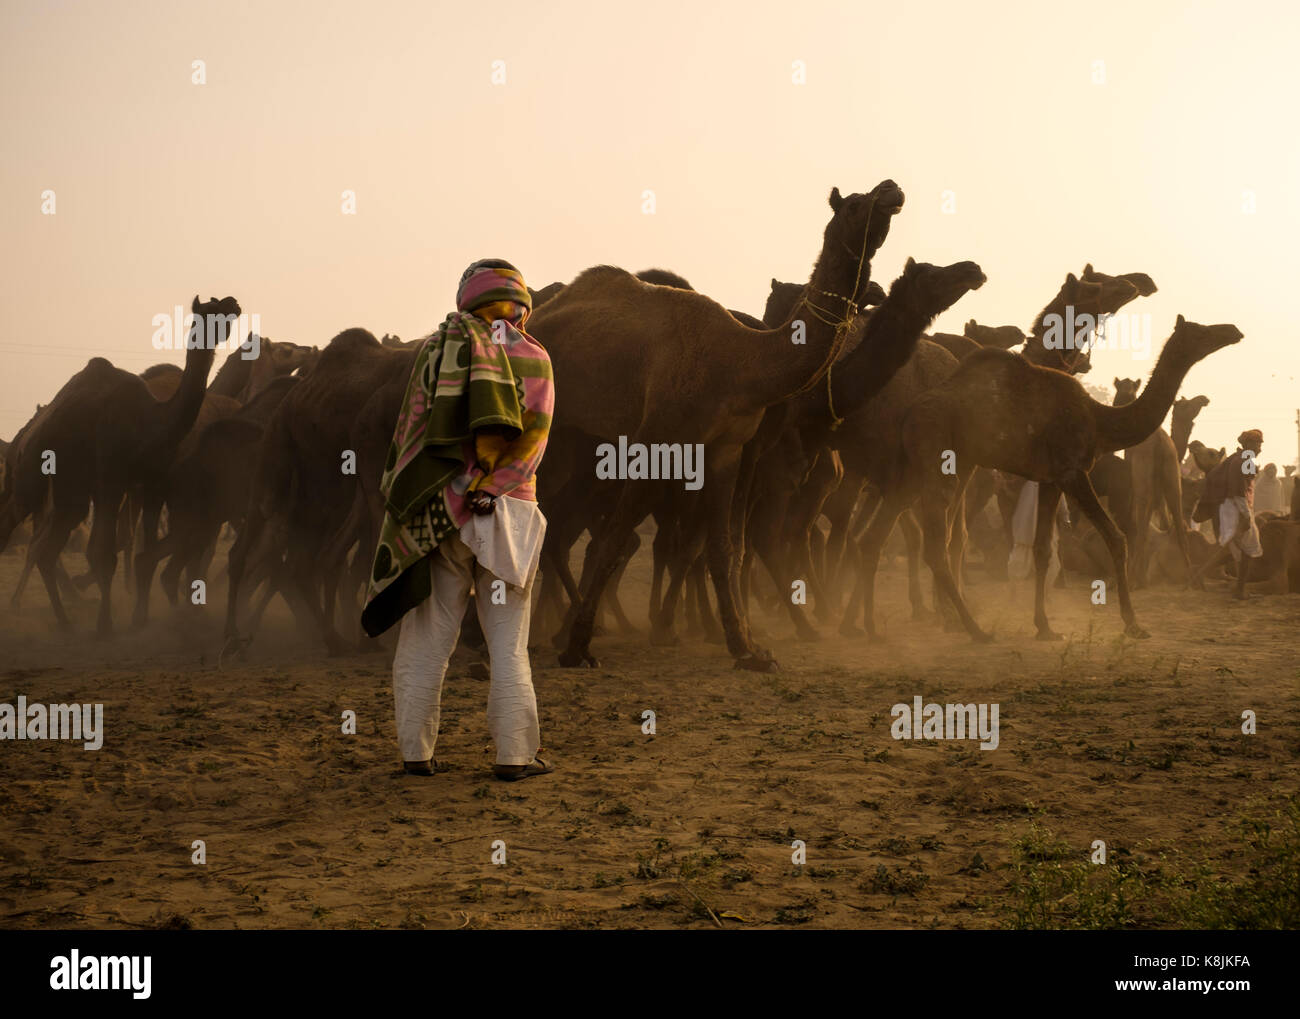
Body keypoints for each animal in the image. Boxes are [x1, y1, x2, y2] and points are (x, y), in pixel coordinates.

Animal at [0, 296, 240, 634]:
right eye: (206, 312)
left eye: (224, 309)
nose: (234, 303)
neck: (150, 423)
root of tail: (25, 435)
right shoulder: (110, 483)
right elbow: (103, 555)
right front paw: (106, 625)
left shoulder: (151, 484)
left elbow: (144, 547)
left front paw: (140, 615)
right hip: (31, 475)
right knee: (12, 522)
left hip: (69, 492)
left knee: (48, 549)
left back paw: (66, 622)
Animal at [528, 180, 908, 670]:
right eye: (857, 204)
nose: (892, 189)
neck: (739, 363)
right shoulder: (655, 442)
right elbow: (614, 539)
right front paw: (578, 647)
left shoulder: (725, 450)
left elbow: (723, 547)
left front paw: (748, 649)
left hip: (577, 438)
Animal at [859, 315, 1242, 643]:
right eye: (1201, 331)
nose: (1233, 330)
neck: (1101, 421)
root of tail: (910, 413)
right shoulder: (1074, 472)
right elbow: (1116, 538)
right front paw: (1133, 624)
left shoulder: (1050, 479)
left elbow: (1043, 549)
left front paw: (1044, 627)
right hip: (938, 458)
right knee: (935, 544)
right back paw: (975, 630)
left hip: (926, 467)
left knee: (877, 536)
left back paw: (872, 629)